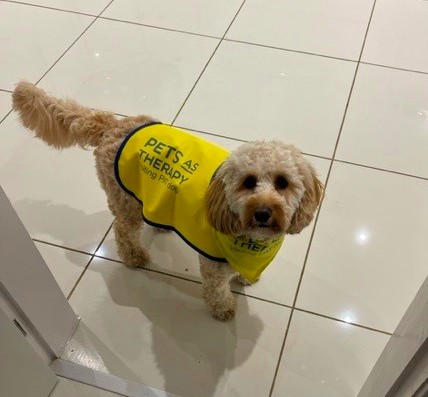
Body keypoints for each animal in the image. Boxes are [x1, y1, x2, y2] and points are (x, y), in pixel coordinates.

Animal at [11, 82, 322, 320]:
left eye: (282, 182)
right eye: (248, 182)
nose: (263, 212)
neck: (251, 241)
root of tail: (113, 123)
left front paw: (246, 279)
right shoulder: (214, 267)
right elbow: (217, 290)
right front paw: (223, 309)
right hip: (124, 201)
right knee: (122, 231)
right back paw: (134, 256)